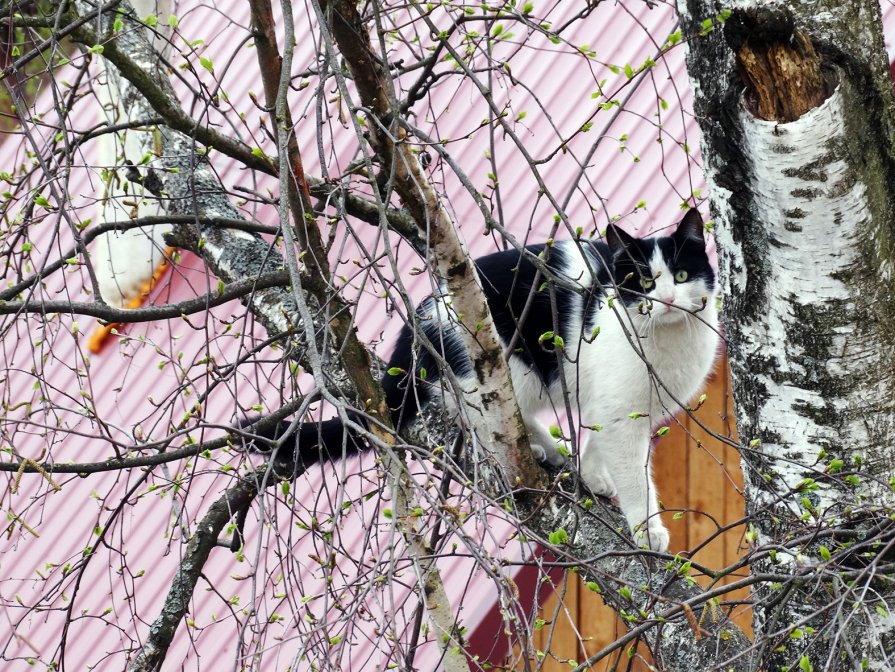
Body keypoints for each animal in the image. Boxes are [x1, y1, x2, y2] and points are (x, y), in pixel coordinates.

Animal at [250, 210, 720, 552]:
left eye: (680, 276)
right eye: (644, 281)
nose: (666, 299)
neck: (670, 343)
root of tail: (421, 317)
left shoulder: (621, 405)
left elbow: (599, 436)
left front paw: (592, 473)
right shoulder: (622, 411)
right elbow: (634, 473)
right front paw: (647, 529)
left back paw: (548, 450)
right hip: (506, 368)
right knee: (477, 414)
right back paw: (534, 447)